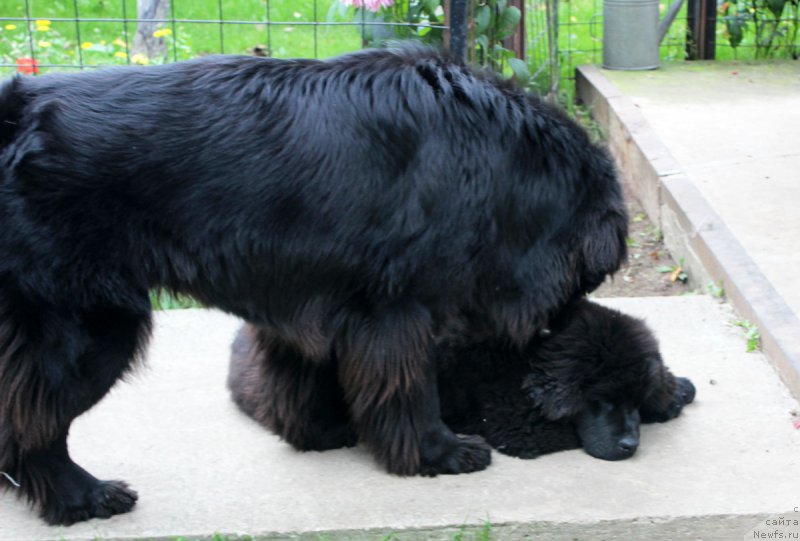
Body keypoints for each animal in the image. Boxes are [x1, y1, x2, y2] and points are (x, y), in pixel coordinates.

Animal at [0, 44, 624, 524]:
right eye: (583, 284)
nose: (559, 333)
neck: (501, 160)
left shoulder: (314, 295)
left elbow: (307, 370)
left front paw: (319, 430)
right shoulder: (395, 305)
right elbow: (411, 386)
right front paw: (436, 452)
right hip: (88, 324)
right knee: (33, 421)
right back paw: (80, 498)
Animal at [227, 298, 692, 462]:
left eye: (631, 399)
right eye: (600, 400)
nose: (630, 445)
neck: (527, 359)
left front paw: (670, 389)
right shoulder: (517, 426)